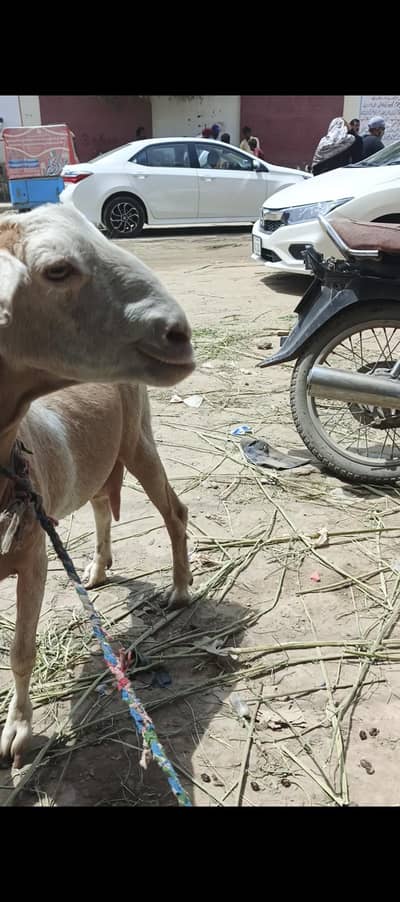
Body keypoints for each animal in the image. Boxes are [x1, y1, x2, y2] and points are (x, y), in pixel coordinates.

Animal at [0, 204, 195, 767]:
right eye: (57, 270)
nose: (179, 334)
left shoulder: (33, 555)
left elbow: (21, 651)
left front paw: (18, 732)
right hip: (98, 457)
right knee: (103, 508)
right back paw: (98, 570)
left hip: (138, 435)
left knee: (174, 511)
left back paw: (179, 590)